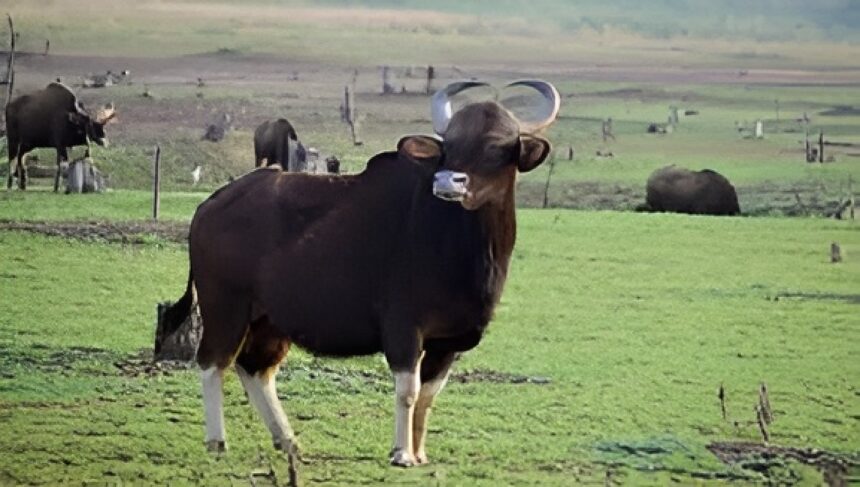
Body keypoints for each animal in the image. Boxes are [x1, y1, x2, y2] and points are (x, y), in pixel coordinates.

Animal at [160, 80, 560, 467]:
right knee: (213, 362)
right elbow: (408, 392)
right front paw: (401, 453)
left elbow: (428, 396)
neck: (461, 248)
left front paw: (419, 452)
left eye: (495, 148)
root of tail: (211, 204)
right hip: (225, 307)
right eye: (449, 146)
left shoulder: (448, 342)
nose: (447, 182)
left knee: (255, 367)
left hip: (268, 318)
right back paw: (217, 440)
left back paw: (288, 441)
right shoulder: (404, 330)